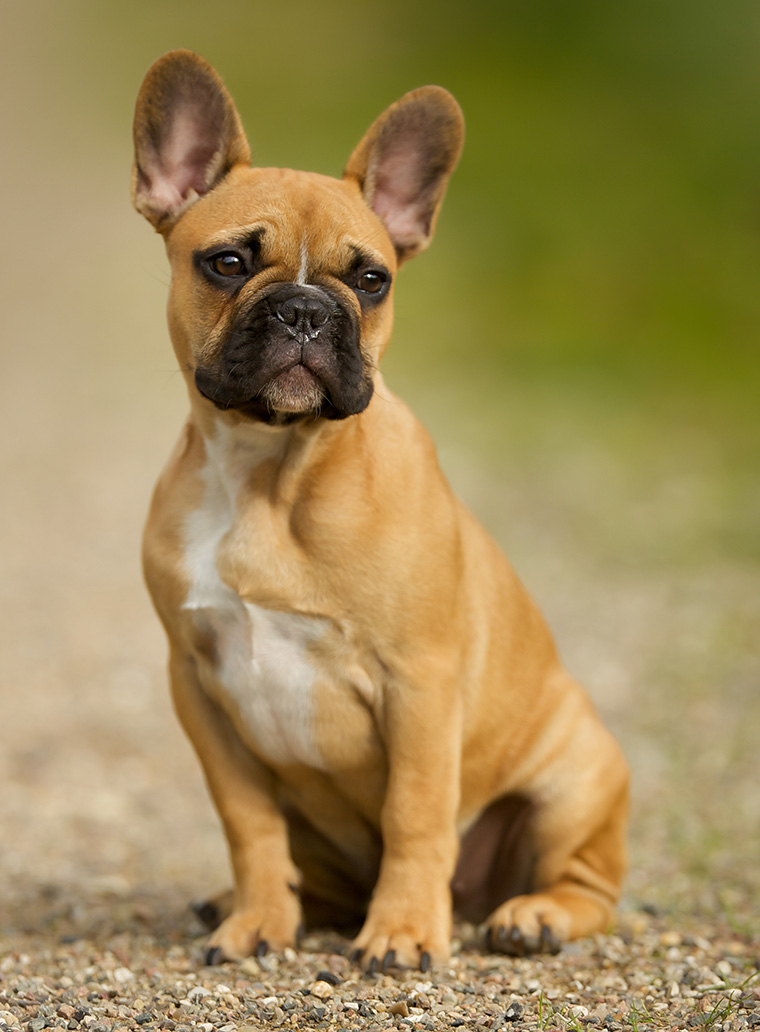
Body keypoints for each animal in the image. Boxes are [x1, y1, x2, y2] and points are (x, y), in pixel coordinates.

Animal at [132, 50, 627, 965]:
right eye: (226, 264)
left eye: (371, 280)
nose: (305, 309)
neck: (271, 474)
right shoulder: (200, 687)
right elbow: (247, 823)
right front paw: (259, 918)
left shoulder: (420, 684)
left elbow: (415, 814)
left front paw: (400, 933)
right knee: (310, 864)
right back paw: (254, 905)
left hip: (576, 781)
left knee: (588, 887)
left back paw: (531, 916)